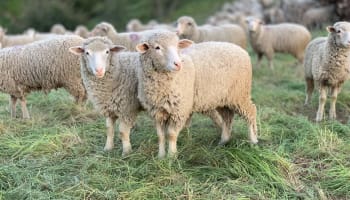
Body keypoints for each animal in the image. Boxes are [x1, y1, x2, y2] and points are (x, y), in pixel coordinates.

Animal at [137, 30, 258, 158]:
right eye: (157, 47)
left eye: (177, 46)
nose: (178, 64)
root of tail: (241, 49)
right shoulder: (157, 111)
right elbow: (160, 136)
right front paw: (160, 156)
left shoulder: (179, 110)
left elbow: (171, 134)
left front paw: (171, 156)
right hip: (222, 98)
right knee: (227, 117)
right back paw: (223, 141)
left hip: (240, 94)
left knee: (251, 112)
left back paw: (253, 141)